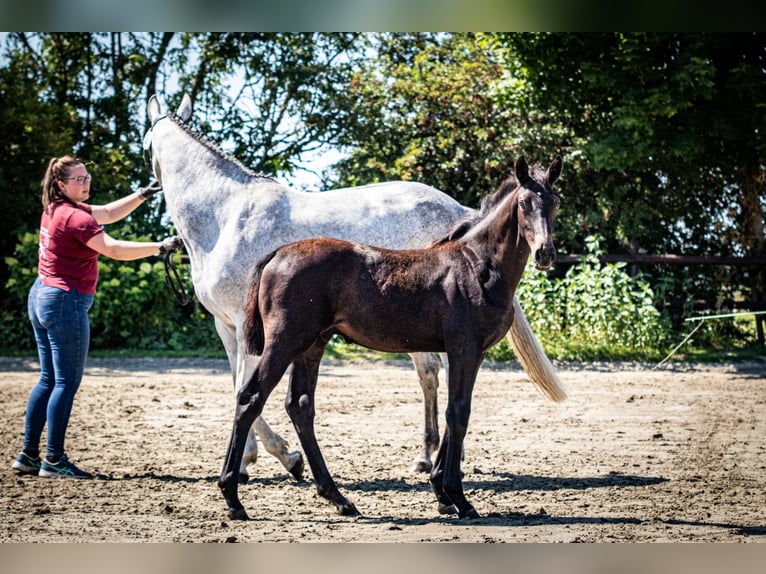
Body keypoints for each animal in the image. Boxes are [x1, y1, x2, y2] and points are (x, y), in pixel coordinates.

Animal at [220, 156, 564, 520]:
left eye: (555, 201)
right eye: (524, 203)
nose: (545, 254)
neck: (476, 265)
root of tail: (276, 254)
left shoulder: (471, 352)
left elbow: (456, 412)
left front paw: (441, 492)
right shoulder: (464, 348)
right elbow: (458, 413)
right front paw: (458, 497)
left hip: (312, 345)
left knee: (299, 406)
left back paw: (338, 498)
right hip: (284, 342)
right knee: (250, 398)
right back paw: (233, 497)